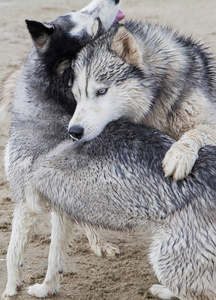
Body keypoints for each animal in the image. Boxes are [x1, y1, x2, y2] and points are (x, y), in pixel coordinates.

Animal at [1, 0, 125, 298]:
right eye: (85, 15)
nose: (115, 1)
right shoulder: (28, 200)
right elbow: (14, 251)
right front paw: (13, 285)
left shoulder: (46, 200)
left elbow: (50, 253)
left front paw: (43, 286)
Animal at [12, 119, 216, 300]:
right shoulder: (60, 206)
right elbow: (54, 257)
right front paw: (46, 289)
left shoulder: (28, 201)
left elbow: (14, 253)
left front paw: (11, 289)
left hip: (165, 259)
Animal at [68, 21, 216, 180]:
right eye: (77, 94)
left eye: (102, 91)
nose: (74, 131)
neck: (157, 100)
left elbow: (195, 132)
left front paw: (180, 154)